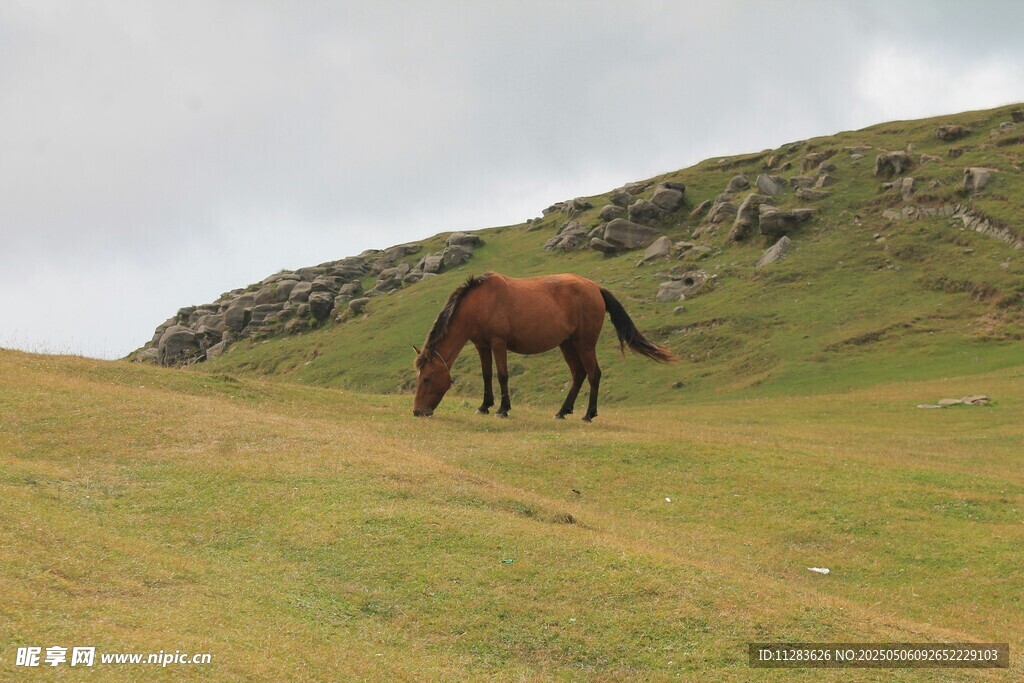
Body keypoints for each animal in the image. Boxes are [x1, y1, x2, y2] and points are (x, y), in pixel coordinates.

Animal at [412, 272, 676, 420]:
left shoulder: (498, 343)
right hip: (567, 344)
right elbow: (487, 376)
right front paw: (485, 406)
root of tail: (595, 288)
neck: (480, 302)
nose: (417, 411)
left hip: (584, 343)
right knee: (579, 374)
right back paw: (562, 411)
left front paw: (503, 409)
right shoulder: (482, 345)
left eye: (426, 378)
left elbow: (502, 375)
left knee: (593, 374)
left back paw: (588, 414)